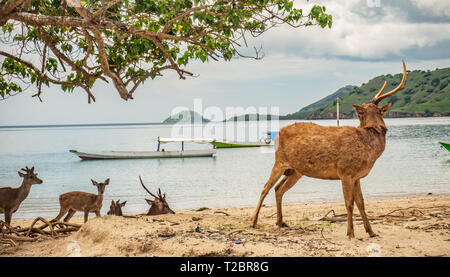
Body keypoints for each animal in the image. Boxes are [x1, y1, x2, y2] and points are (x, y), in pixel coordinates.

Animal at [251, 60, 410, 237]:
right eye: (360, 113)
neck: (369, 149)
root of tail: (277, 134)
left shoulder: (357, 176)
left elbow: (361, 203)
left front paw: (371, 232)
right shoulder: (345, 172)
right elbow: (349, 203)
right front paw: (350, 233)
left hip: (296, 171)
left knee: (278, 189)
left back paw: (280, 222)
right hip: (279, 161)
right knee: (265, 187)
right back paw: (253, 221)